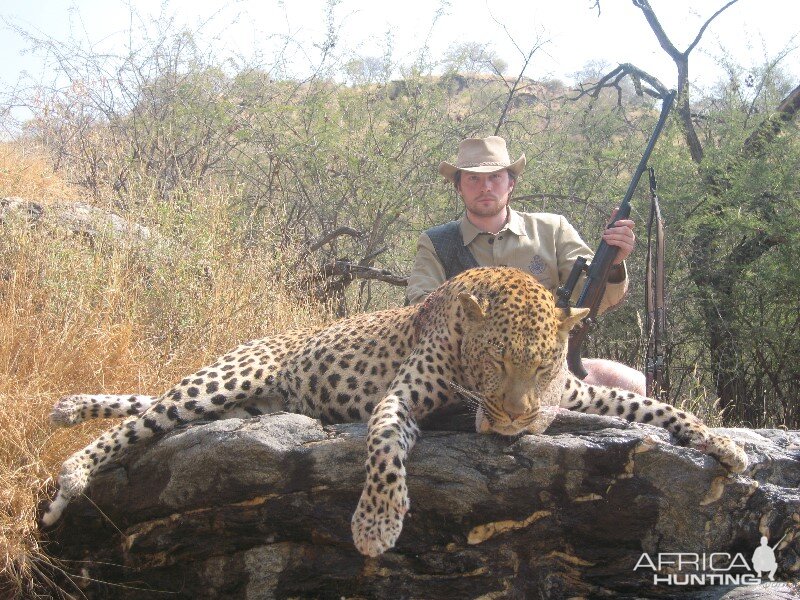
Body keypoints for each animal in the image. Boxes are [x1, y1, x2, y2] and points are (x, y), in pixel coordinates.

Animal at [40, 268, 748, 556]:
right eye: (498, 362)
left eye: (545, 366)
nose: (517, 422)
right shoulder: (402, 397)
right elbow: (382, 450)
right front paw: (376, 526)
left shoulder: (578, 393)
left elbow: (650, 403)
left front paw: (723, 446)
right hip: (222, 381)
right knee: (145, 416)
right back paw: (70, 475)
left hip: (237, 401)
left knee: (147, 402)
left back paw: (71, 408)